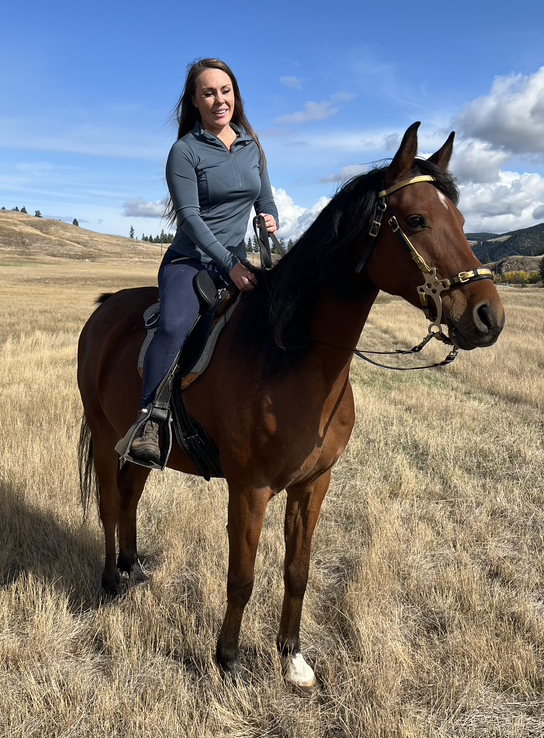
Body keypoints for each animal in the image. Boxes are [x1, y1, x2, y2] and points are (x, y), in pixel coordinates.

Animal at [77, 122, 505, 689]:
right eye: (416, 220)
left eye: (462, 221)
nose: (488, 316)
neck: (290, 356)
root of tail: (104, 309)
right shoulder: (250, 489)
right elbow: (241, 576)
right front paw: (228, 659)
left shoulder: (313, 483)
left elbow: (297, 571)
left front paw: (291, 656)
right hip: (105, 436)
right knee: (108, 504)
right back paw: (109, 579)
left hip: (140, 448)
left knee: (129, 498)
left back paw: (133, 568)